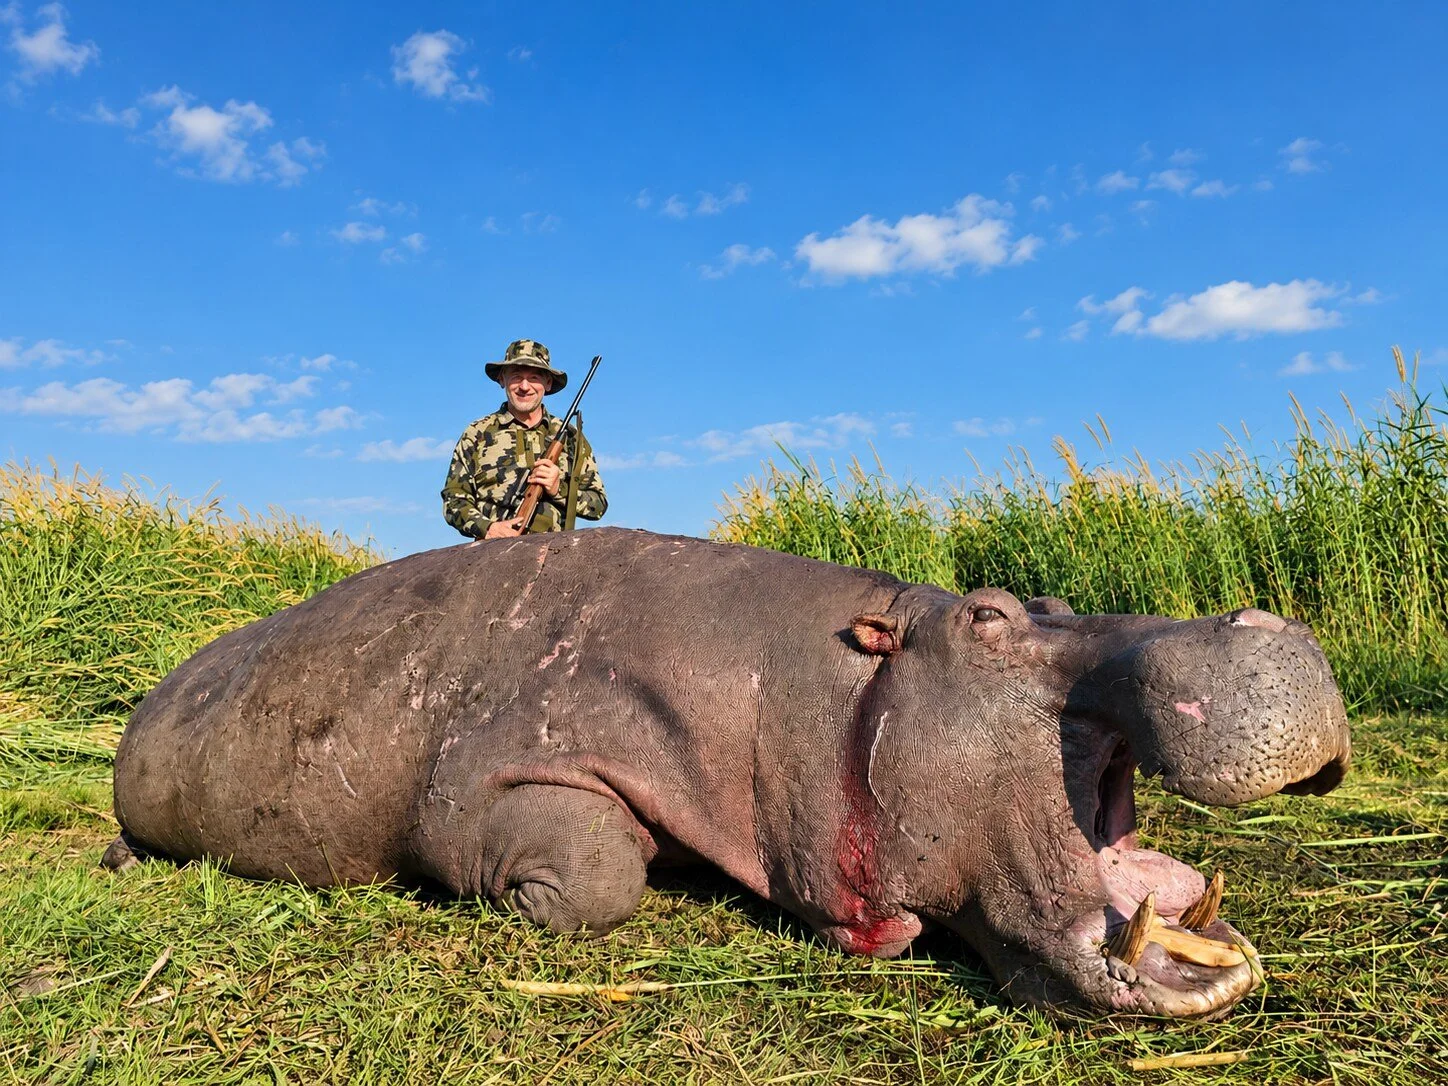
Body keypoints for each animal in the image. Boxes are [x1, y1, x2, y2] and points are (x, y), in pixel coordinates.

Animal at [105, 528, 1350, 1018]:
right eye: (989, 615)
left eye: (1037, 596)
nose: (1262, 621)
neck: (820, 682)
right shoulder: (498, 772)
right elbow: (591, 870)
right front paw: (516, 900)